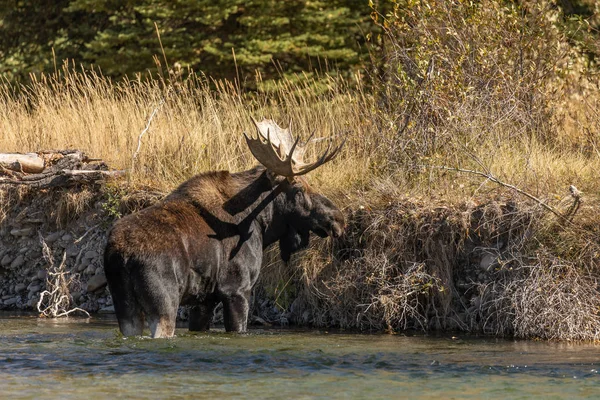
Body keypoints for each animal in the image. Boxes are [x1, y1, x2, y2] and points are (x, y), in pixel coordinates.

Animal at [105, 119, 344, 338]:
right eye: (299, 188)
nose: (338, 218)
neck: (262, 223)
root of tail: (122, 255)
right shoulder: (237, 289)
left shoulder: (204, 299)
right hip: (164, 302)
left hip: (125, 307)